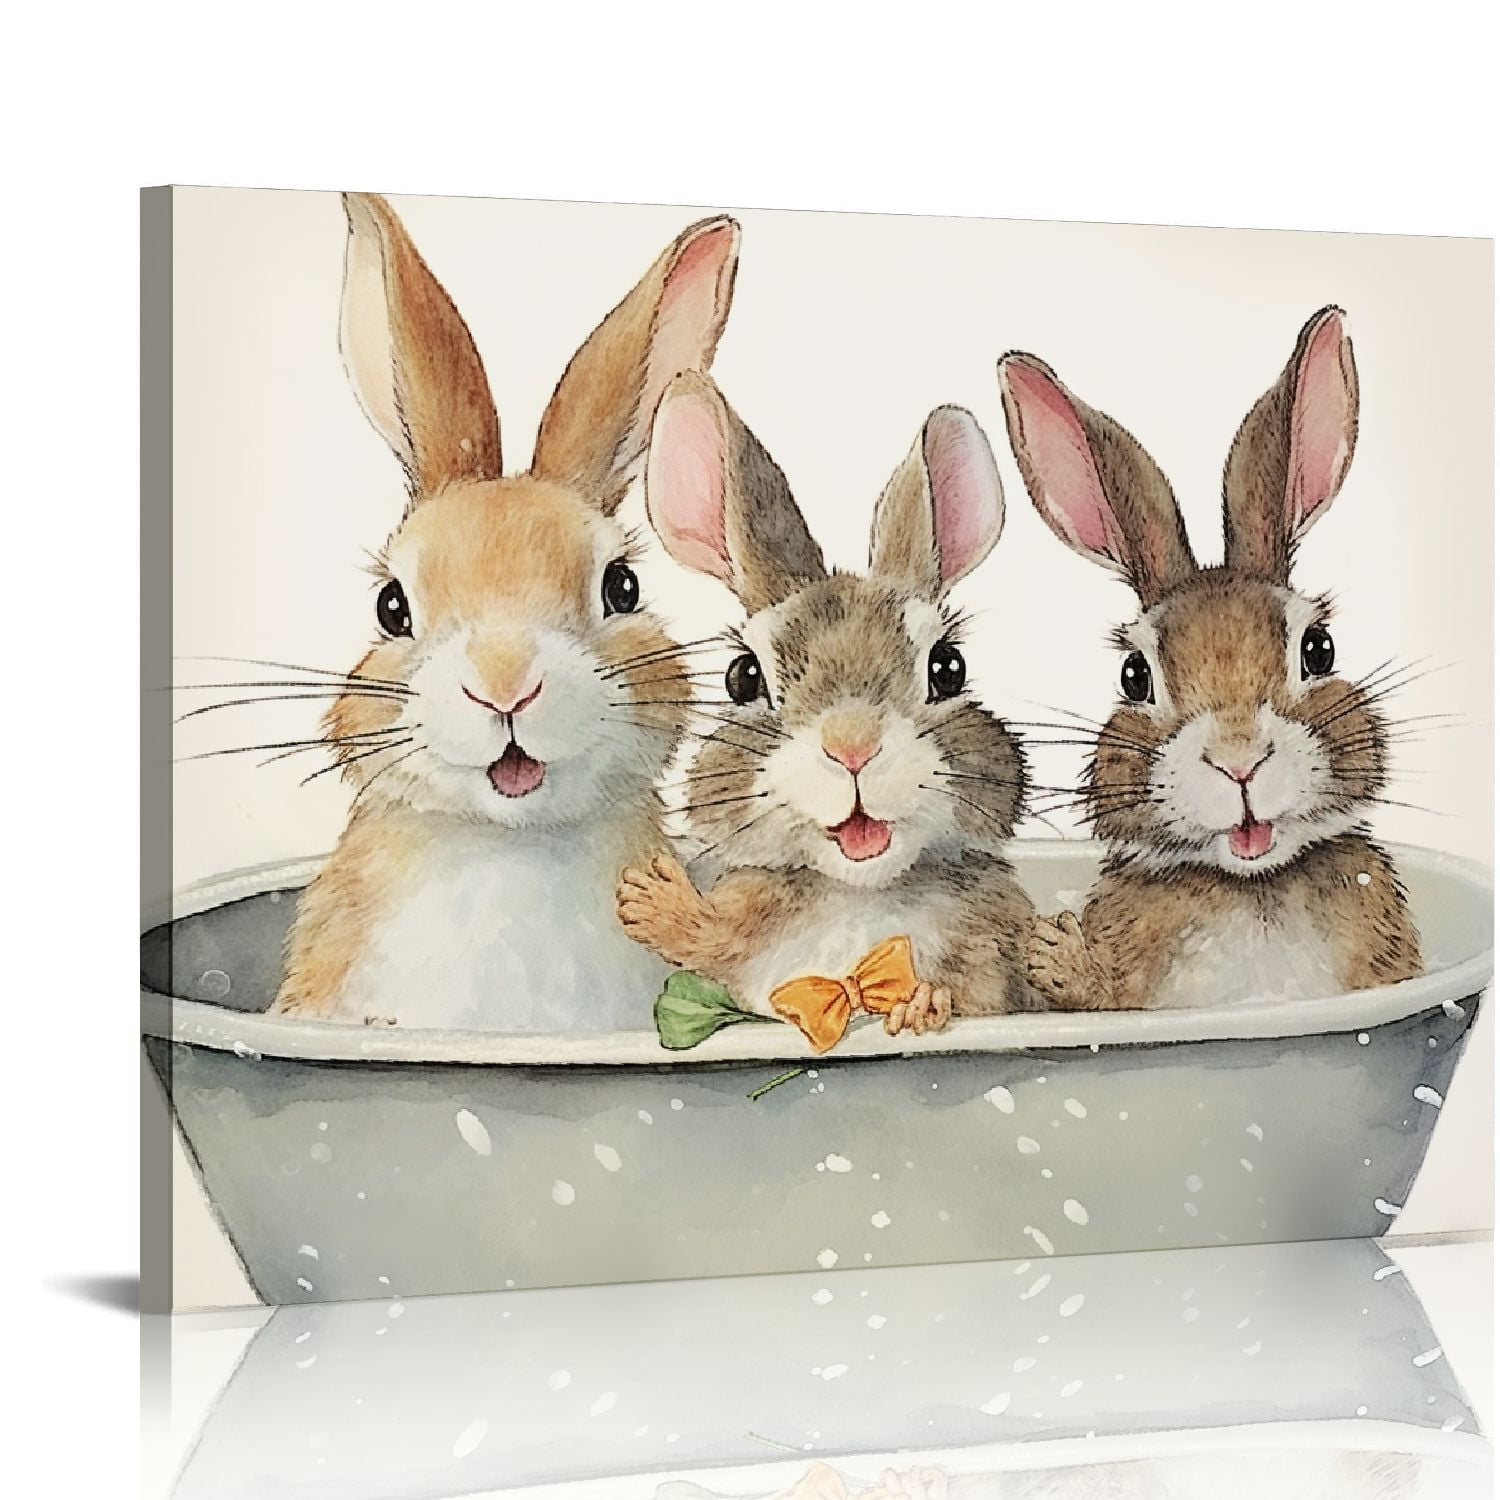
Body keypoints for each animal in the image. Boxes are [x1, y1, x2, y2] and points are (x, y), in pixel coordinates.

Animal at [615, 370, 1040, 1040]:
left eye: (948, 668)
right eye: (743, 676)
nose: (853, 744)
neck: (859, 892)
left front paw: (921, 1007)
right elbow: (709, 936)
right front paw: (647, 895)